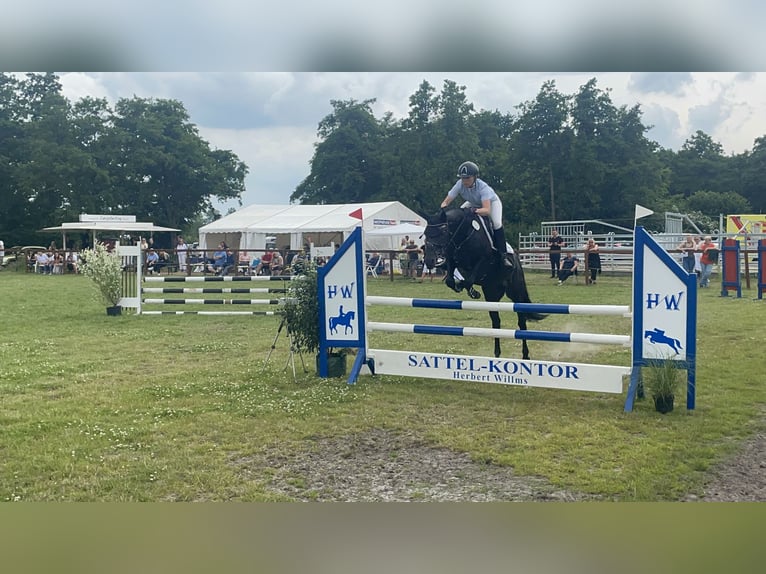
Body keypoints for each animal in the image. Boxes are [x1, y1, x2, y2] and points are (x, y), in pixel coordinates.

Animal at [426, 207, 544, 360]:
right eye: (425, 234)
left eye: (442, 232)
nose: (428, 261)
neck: (463, 235)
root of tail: (518, 262)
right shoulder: (451, 258)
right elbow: (450, 280)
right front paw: (462, 286)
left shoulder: (484, 260)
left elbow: (470, 278)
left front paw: (471, 290)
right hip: (491, 294)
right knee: (496, 322)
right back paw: (497, 353)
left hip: (515, 293)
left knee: (521, 321)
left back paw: (525, 355)